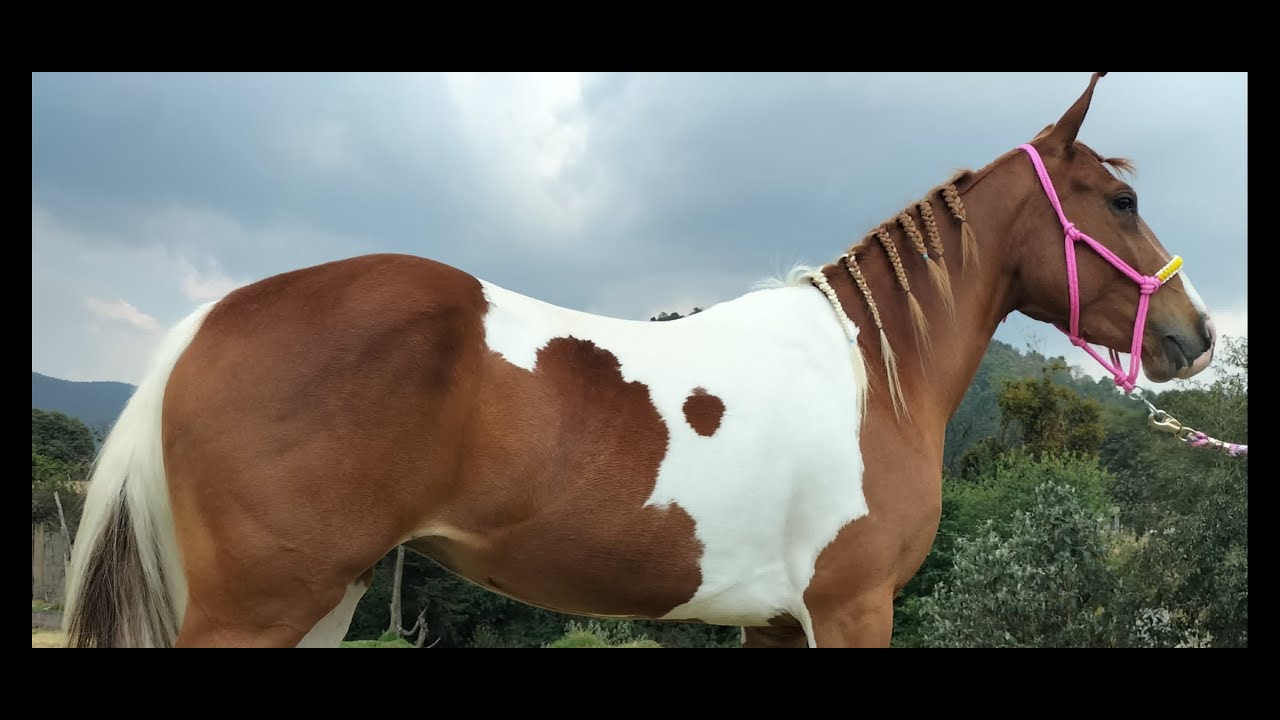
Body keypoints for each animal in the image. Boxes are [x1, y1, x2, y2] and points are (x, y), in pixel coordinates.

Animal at [61, 72, 1219, 648]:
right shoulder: (851, 610)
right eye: (1119, 199)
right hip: (260, 608)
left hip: (324, 599)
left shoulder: (779, 625)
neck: (867, 375)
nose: (1196, 334)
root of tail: (210, 321)